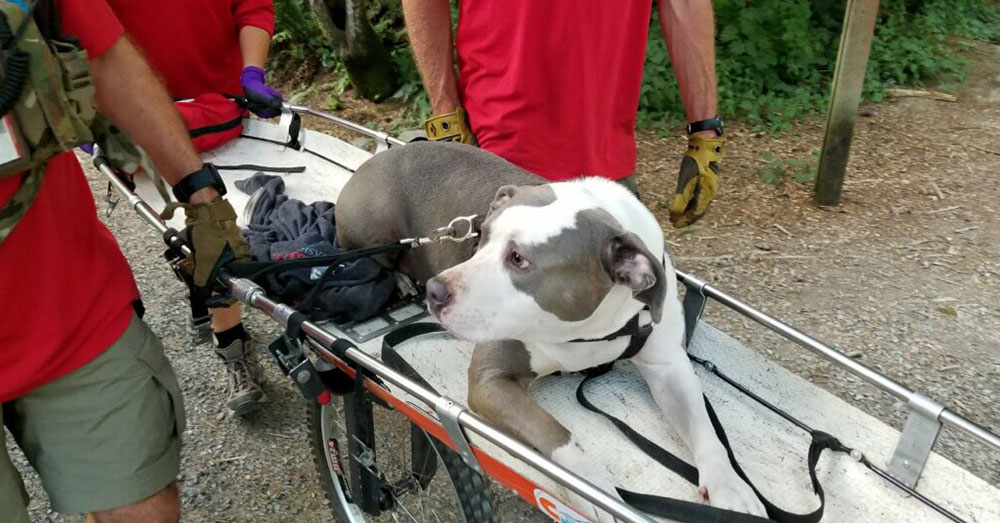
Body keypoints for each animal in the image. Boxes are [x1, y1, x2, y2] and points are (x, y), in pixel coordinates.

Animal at [336, 142, 764, 520]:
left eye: (519, 259)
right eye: (481, 237)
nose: (436, 291)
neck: (589, 328)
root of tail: (379, 156)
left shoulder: (668, 366)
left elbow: (705, 429)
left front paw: (731, 489)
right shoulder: (490, 379)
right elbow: (558, 434)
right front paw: (597, 492)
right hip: (376, 226)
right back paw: (400, 279)